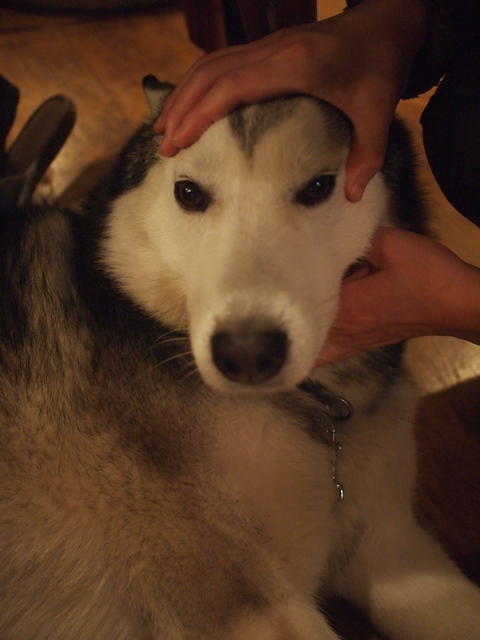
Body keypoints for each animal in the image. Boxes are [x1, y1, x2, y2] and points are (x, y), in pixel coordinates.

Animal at [0, 76, 480, 640]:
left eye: (318, 187)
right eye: (189, 193)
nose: (247, 353)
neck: (317, 412)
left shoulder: (388, 544)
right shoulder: (250, 605)